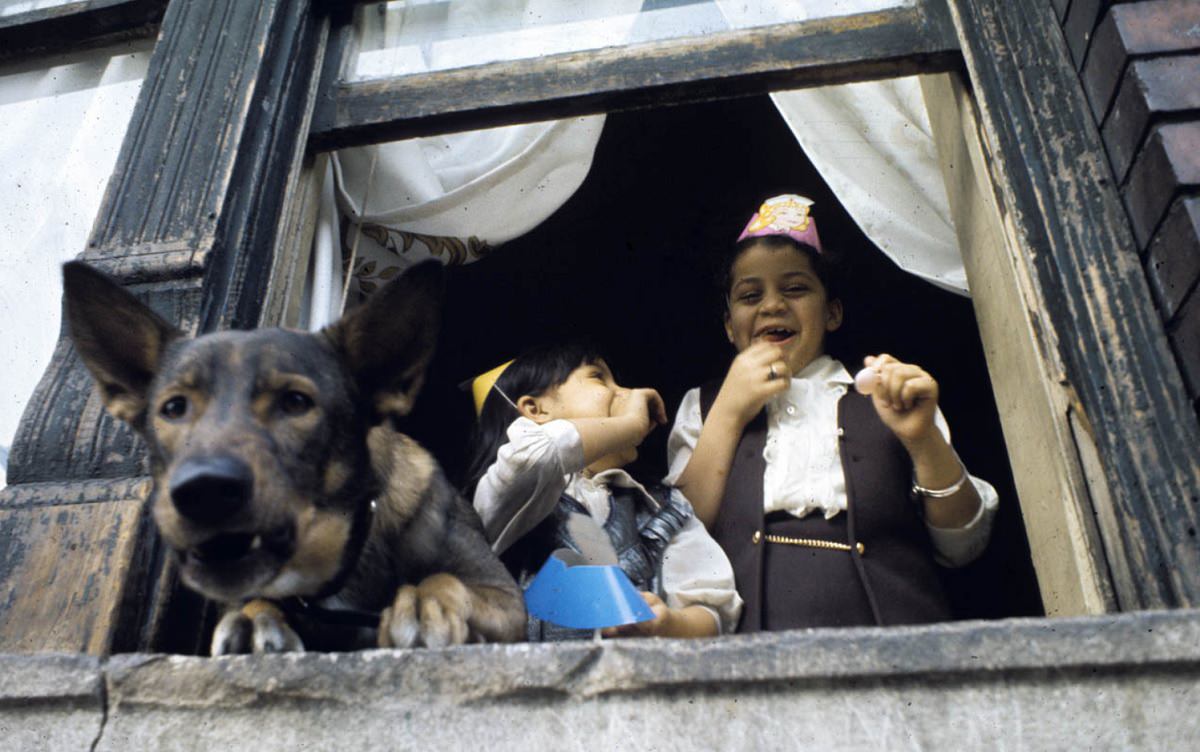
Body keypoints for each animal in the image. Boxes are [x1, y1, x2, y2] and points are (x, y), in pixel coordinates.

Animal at [63, 261, 525, 657]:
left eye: (296, 402)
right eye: (173, 408)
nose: (202, 491)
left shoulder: (507, 598)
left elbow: (445, 580)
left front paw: (425, 603)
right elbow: (256, 602)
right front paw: (254, 617)